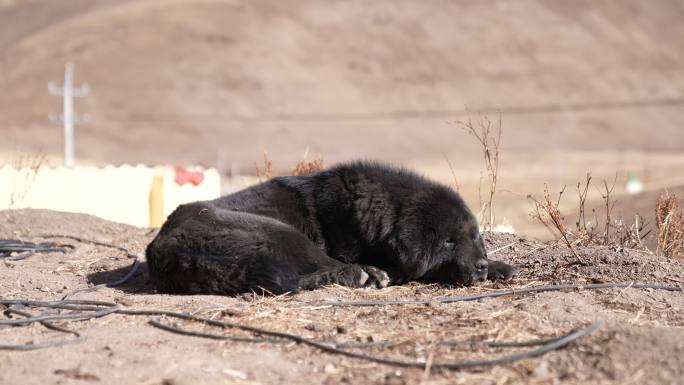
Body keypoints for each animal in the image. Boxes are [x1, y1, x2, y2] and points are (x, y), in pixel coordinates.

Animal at [146, 160, 520, 294]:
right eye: (447, 242)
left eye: (473, 236)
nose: (480, 266)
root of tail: (163, 249)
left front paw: (500, 266)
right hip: (281, 232)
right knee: (326, 268)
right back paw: (368, 275)